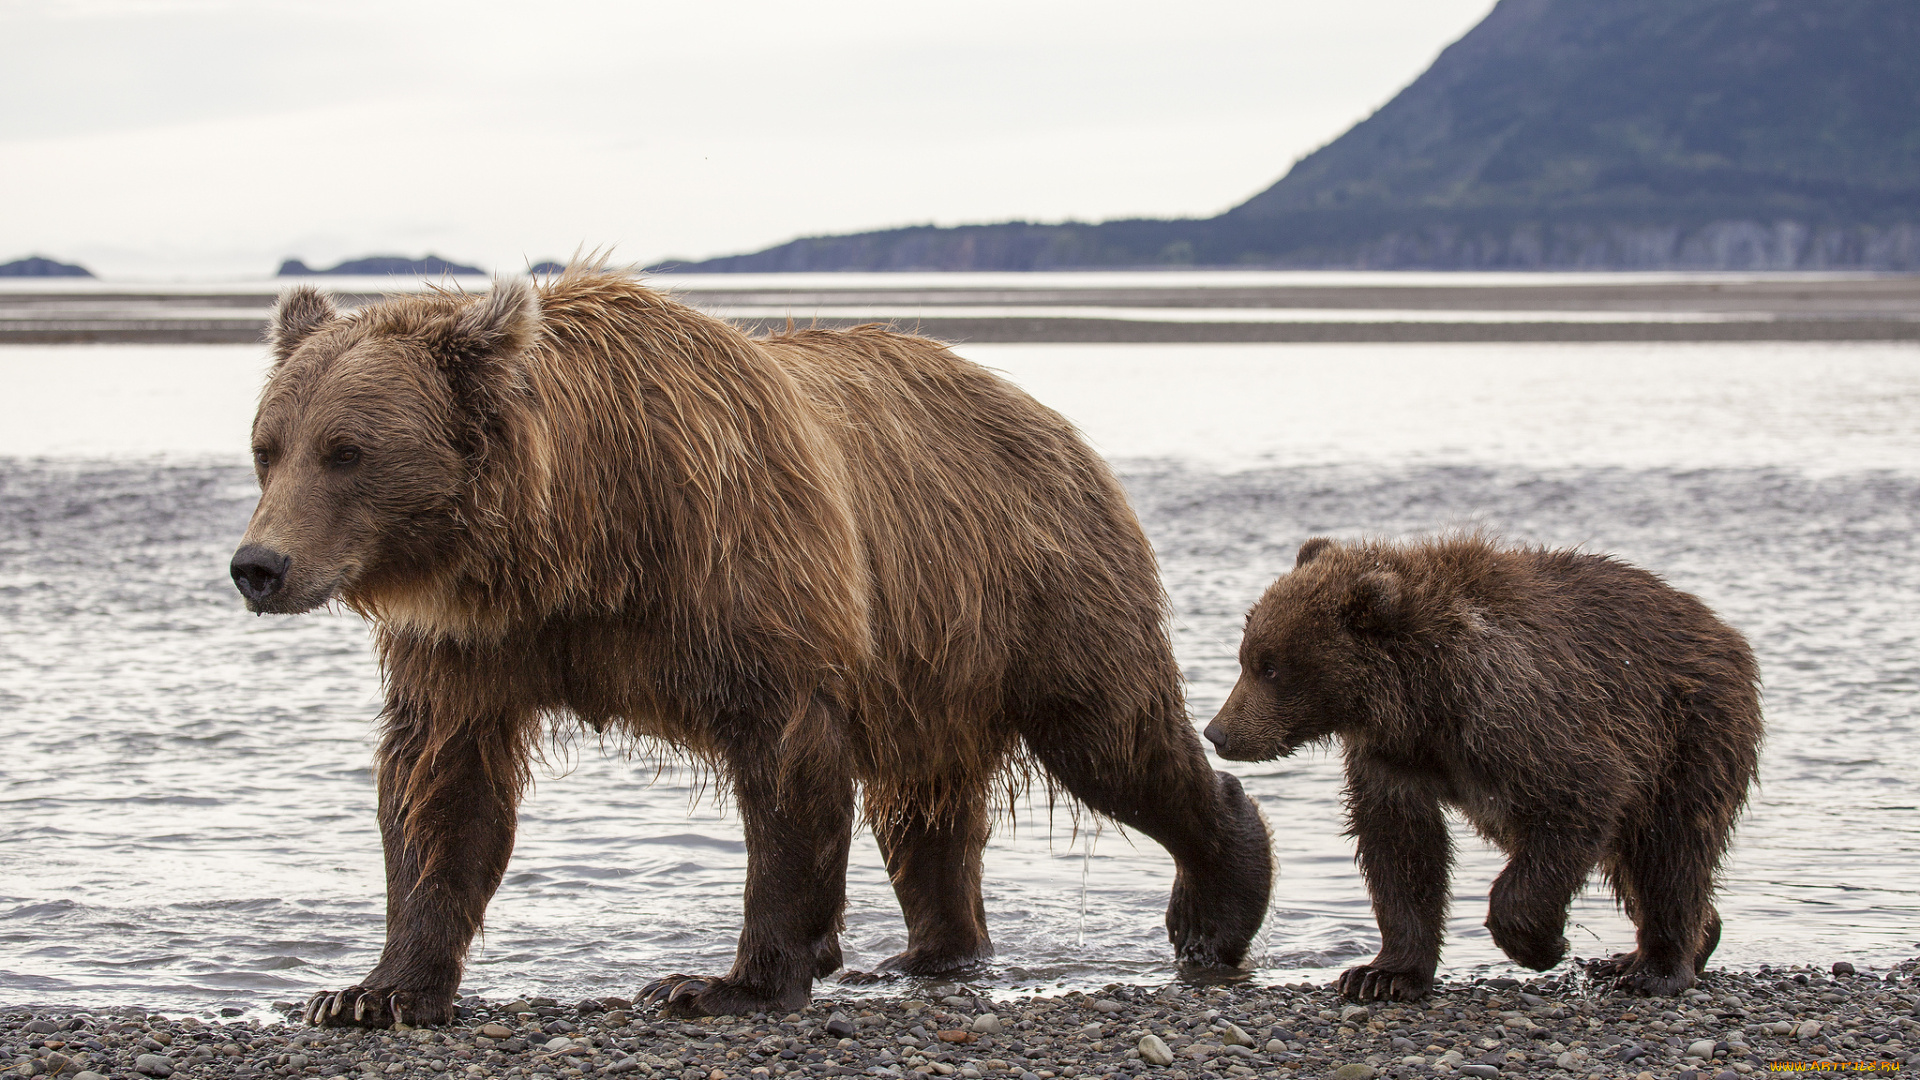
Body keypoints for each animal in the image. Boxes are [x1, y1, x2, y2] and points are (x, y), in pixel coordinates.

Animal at [228, 269, 1274, 1022]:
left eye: (347, 450)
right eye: (268, 445)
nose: (259, 566)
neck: (580, 538)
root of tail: (1052, 419)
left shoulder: (740, 570)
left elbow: (785, 768)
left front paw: (721, 982)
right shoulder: (474, 643)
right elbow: (440, 786)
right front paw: (369, 992)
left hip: (1039, 590)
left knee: (1117, 742)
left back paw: (1218, 903)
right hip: (931, 661)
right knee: (923, 812)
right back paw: (929, 953)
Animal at [1205, 534, 1758, 999]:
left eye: (1270, 666)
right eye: (1246, 656)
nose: (1218, 732)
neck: (1422, 701)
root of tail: (1723, 629)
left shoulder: (1521, 716)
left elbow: (1582, 794)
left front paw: (1541, 943)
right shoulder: (1392, 758)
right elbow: (1400, 846)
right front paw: (1382, 974)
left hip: (1688, 732)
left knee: (1670, 849)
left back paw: (1656, 968)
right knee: (1634, 860)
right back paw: (1669, 944)